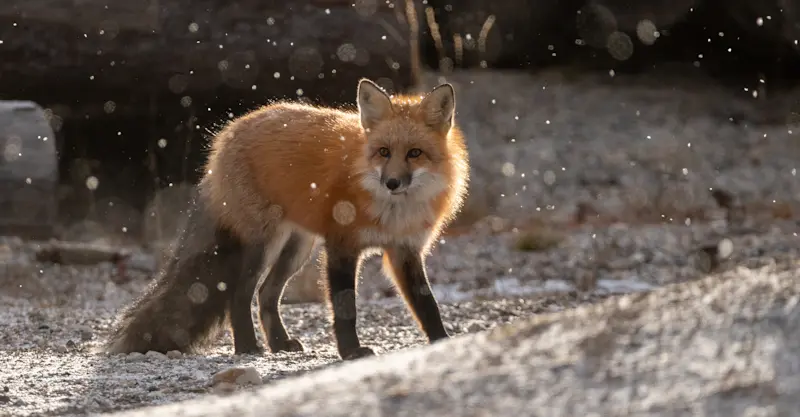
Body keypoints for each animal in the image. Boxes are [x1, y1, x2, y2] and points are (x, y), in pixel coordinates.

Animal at [104, 78, 469, 361]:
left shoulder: (405, 250)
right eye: (383, 152)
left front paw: (442, 342)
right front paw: (351, 352)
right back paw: (247, 347)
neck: (394, 212)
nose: (391, 182)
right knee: (240, 294)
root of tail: (226, 135)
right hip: (265, 242)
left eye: (414, 154)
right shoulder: (341, 247)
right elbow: (345, 308)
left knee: (266, 294)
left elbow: (428, 304)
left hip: (298, 247)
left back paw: (278, 343)